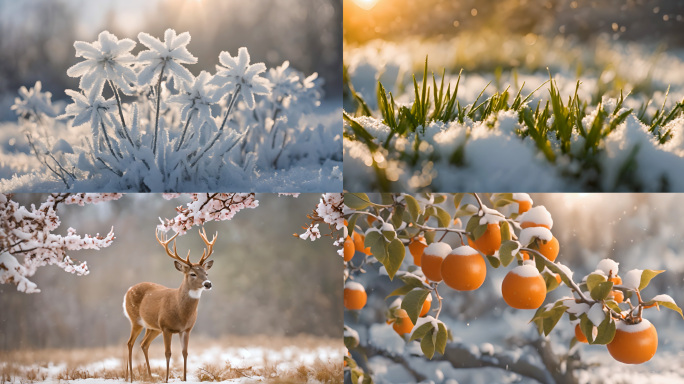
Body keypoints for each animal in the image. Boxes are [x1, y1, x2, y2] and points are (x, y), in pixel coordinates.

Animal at [123, 228, 216, 380]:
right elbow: (167, 353)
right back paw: (130, 377)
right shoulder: (166, 327)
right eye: (192, 274)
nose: (208, 284)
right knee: (130, 343)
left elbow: (185, 353)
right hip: (136, 320)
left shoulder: (186, 329)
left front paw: (184, 379)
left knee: (143, 344)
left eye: (206, 273)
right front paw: (166, 380)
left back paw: (148, 376)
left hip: (153, 327)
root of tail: (128, 290)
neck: (180, 311)